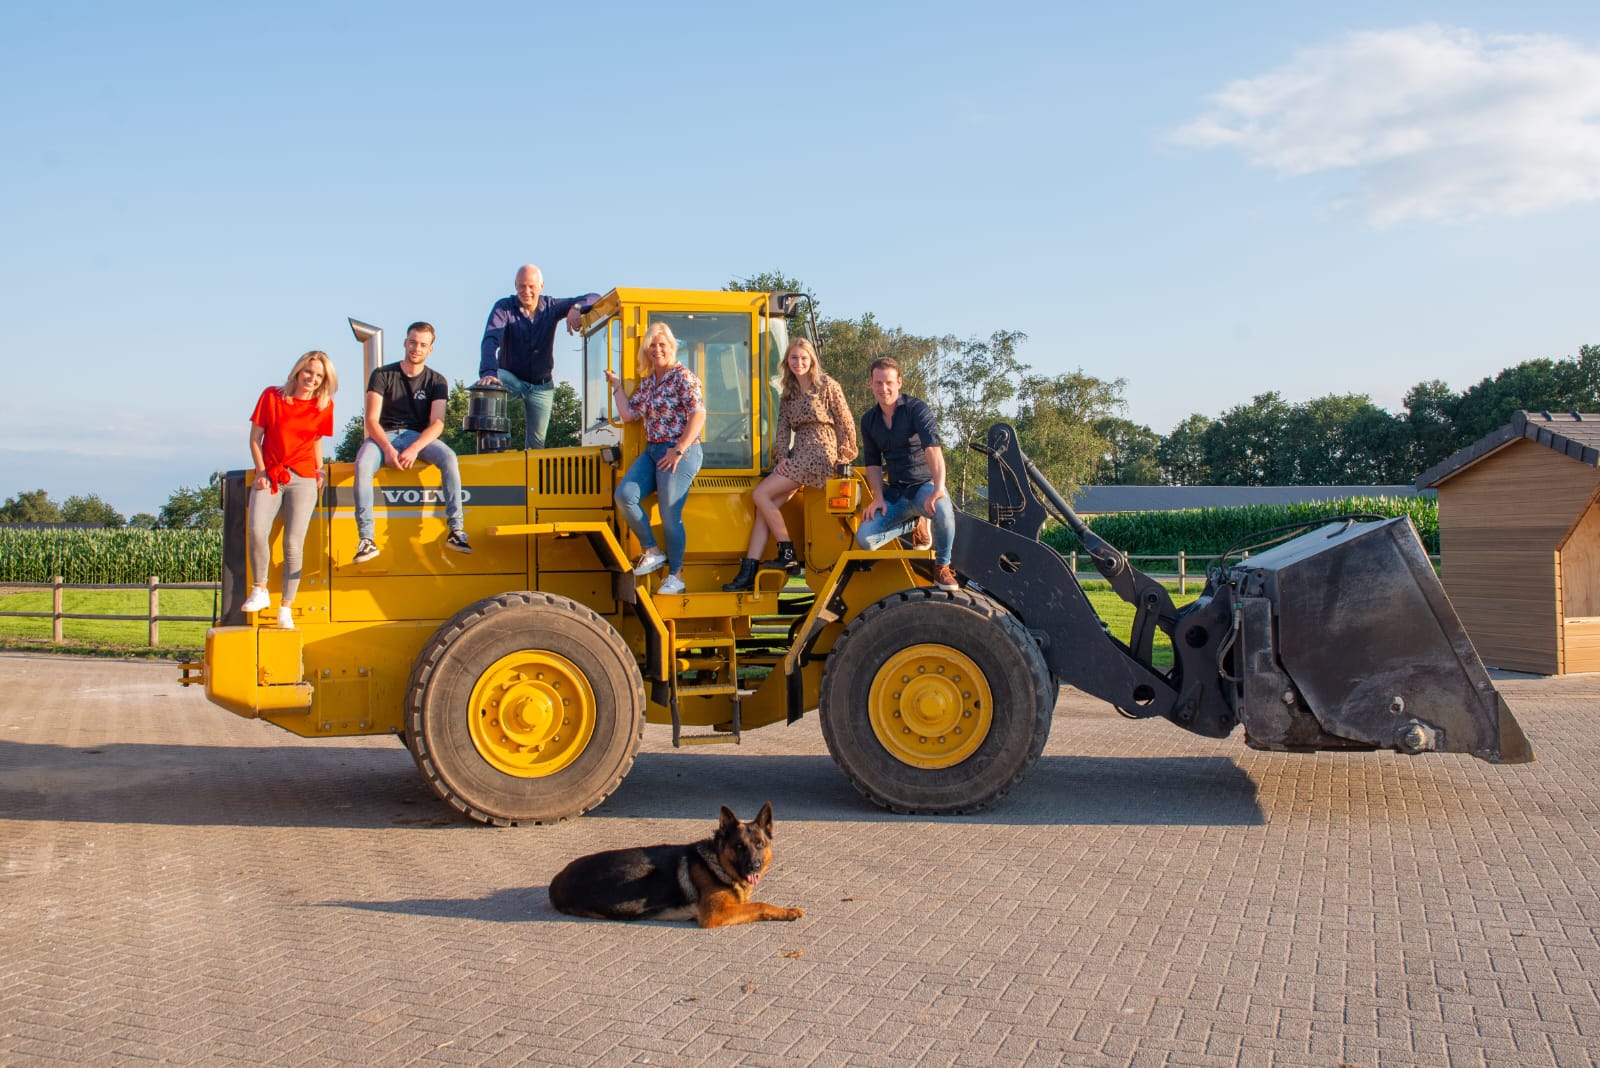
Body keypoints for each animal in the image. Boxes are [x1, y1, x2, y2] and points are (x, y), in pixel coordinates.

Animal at [550, 799, 806, 927]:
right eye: (739, 847)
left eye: (760, 844)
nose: (754, 866)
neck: (717, 864)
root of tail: (557, 880)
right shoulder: (716, 914)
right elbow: (759, 905)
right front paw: (788, 911)